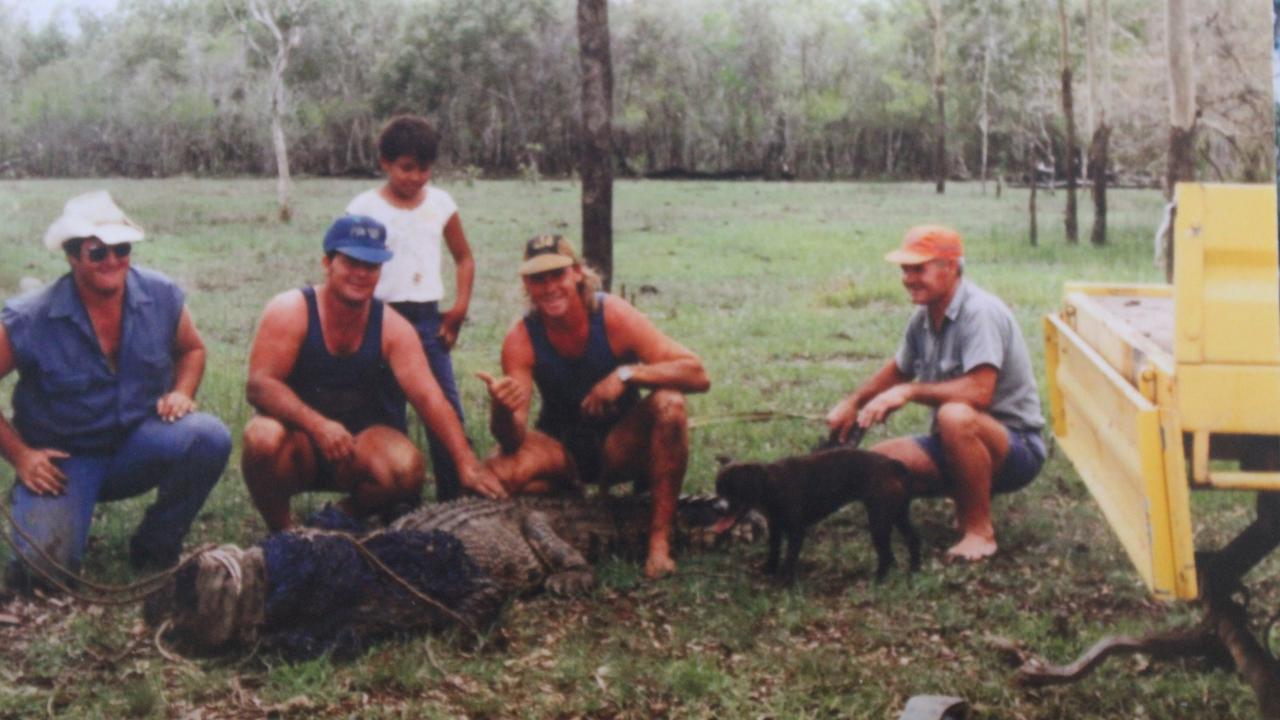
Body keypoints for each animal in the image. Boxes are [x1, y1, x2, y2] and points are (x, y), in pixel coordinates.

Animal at [711, 443, 921, 584]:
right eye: (718, 490)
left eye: (734, 491)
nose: (718, 507)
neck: (770, 484)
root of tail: (892, 464)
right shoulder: (775, 527)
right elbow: (774, 550)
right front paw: (769, 569)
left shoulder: (796, 532)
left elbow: (790, 557)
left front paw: (785, 581)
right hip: (897, 515)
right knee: (912, 539)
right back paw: (914, 570)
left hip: (879, 522)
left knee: (887, 555)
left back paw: (879, 580)